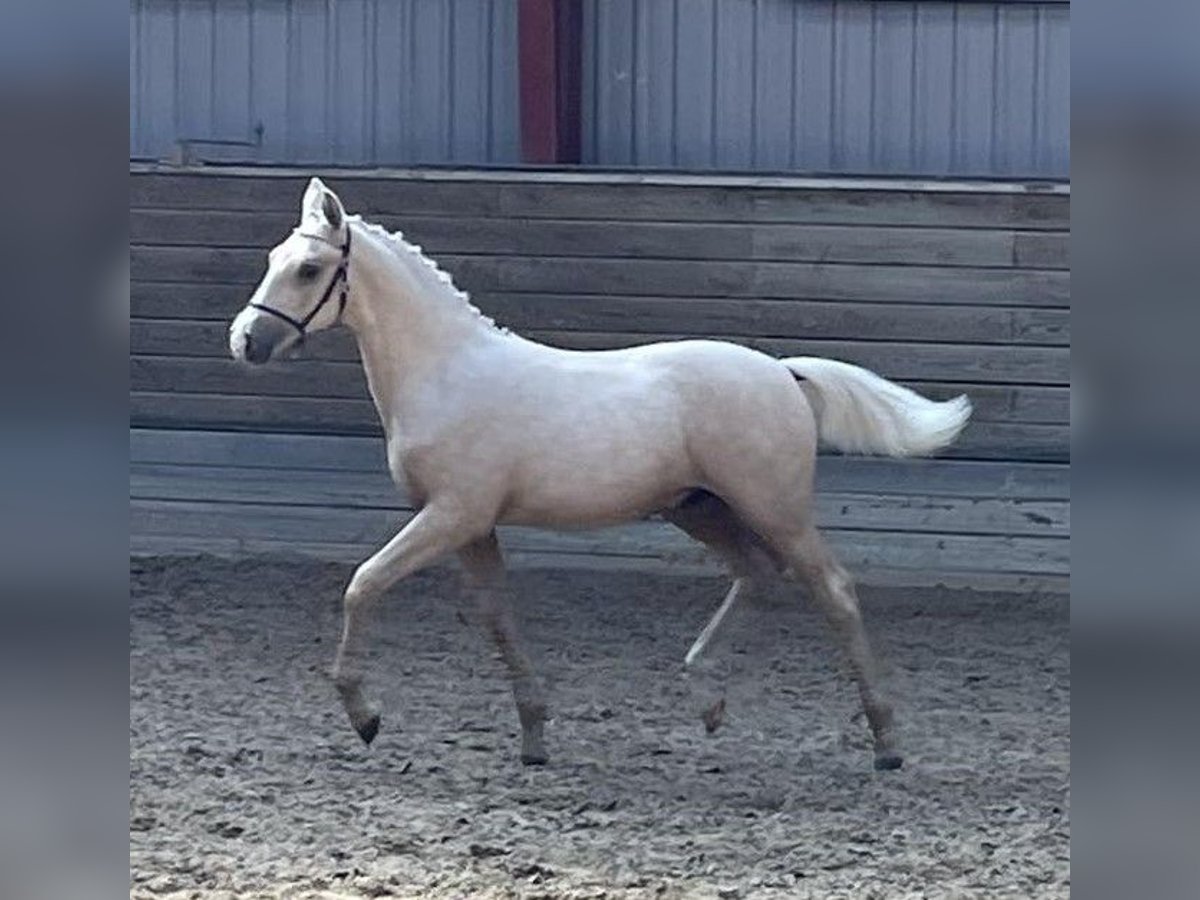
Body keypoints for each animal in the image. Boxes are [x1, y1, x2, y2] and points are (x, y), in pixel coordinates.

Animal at [226, 180, 974, 772]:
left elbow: (363, 584)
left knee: (833, 591)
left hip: (774, 508)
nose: (246, 342)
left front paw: (365, 718)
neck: (446, 371)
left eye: (310, 268)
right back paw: (708, 699)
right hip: (697, 507)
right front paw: (533, 738)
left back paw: (886, 743)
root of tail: (783, 372)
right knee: (757, 575)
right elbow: (497, 618)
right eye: (272, 260)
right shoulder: (473, 527)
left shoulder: (450, 514)